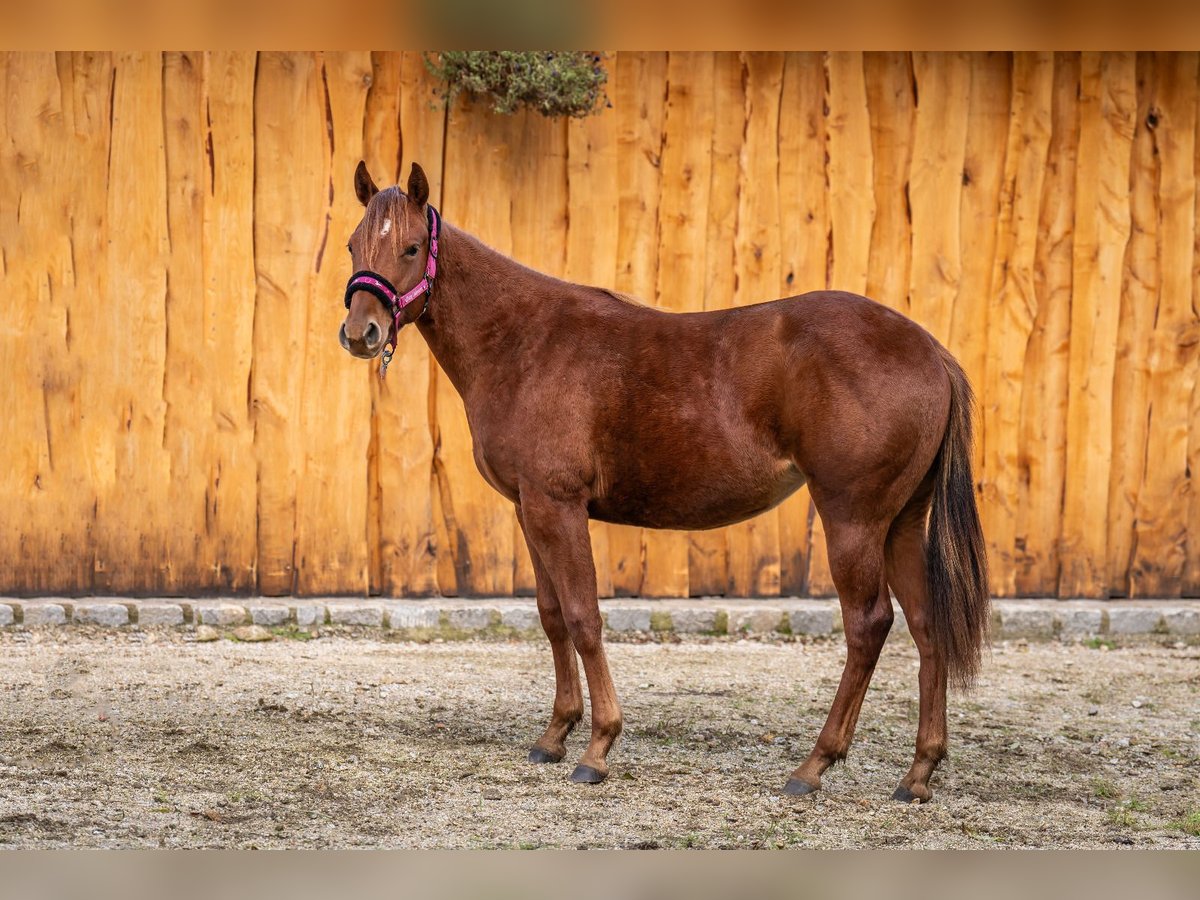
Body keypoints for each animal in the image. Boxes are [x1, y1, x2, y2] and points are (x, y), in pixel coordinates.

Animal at [339, 161, 989, 802]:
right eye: (352, 245)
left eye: (411, 246)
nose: (360, 332)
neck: (524, 341)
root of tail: (930, 351)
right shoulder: (529, 508)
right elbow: (552, 615)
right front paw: (554, 736)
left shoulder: (558, 505)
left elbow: (583, 617)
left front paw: (598, 748)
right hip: (900, 523)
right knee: (926, 626)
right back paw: (918, 773)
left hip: (853, 520)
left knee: (868, 626)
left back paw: (814, 765)